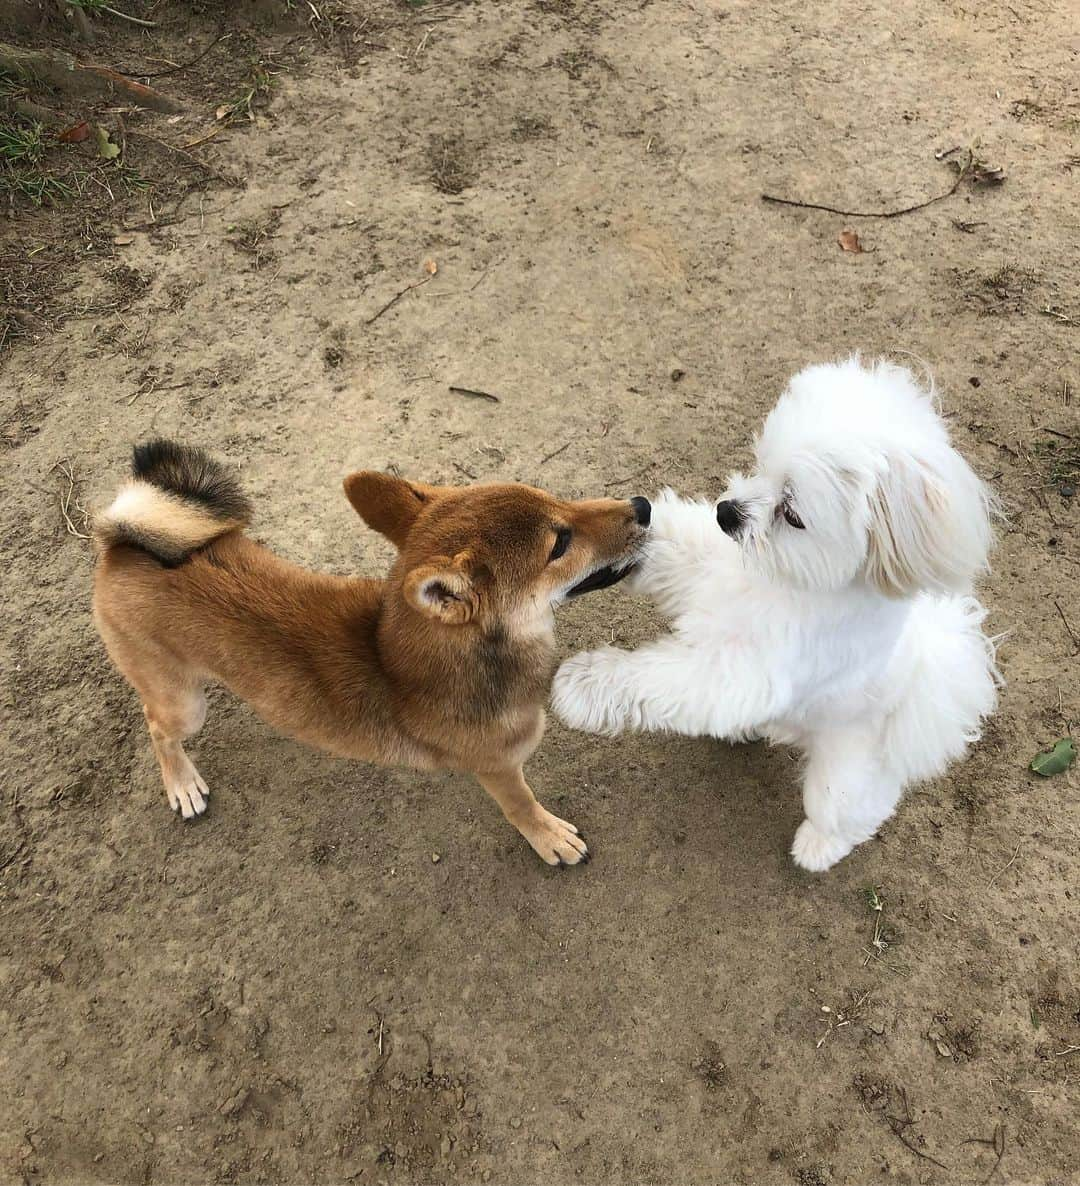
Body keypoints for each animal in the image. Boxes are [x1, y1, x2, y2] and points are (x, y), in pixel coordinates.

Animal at [90, 441, 649, 868]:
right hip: (185, 703)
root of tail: (121, 544)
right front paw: (548, 836)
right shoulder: (499, 769)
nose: (643, 505)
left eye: (558, 499)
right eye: (560, 544)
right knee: (158, 728)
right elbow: (522, 805)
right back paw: (182, 783)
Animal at [552, 353, 1000, 872]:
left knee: (856, 812)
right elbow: (682, 545)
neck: (789, 581)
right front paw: (628, 533)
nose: (726, 513)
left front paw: (584, 684)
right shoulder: (714, 568)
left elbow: (654, 678)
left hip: (843, 778)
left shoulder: (737, 672)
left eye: (792, 515)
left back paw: (819, 846)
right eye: (762, 466)